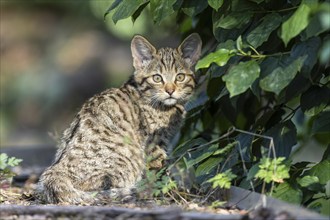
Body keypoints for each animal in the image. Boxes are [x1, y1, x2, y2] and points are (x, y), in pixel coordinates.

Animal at [36, 33, 201, 205]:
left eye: (180, 77)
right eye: (157, 78)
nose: (170, 91)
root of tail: (55, 171)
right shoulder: (154, 144)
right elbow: (159, 169)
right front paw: (168, 189)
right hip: (128, 162)